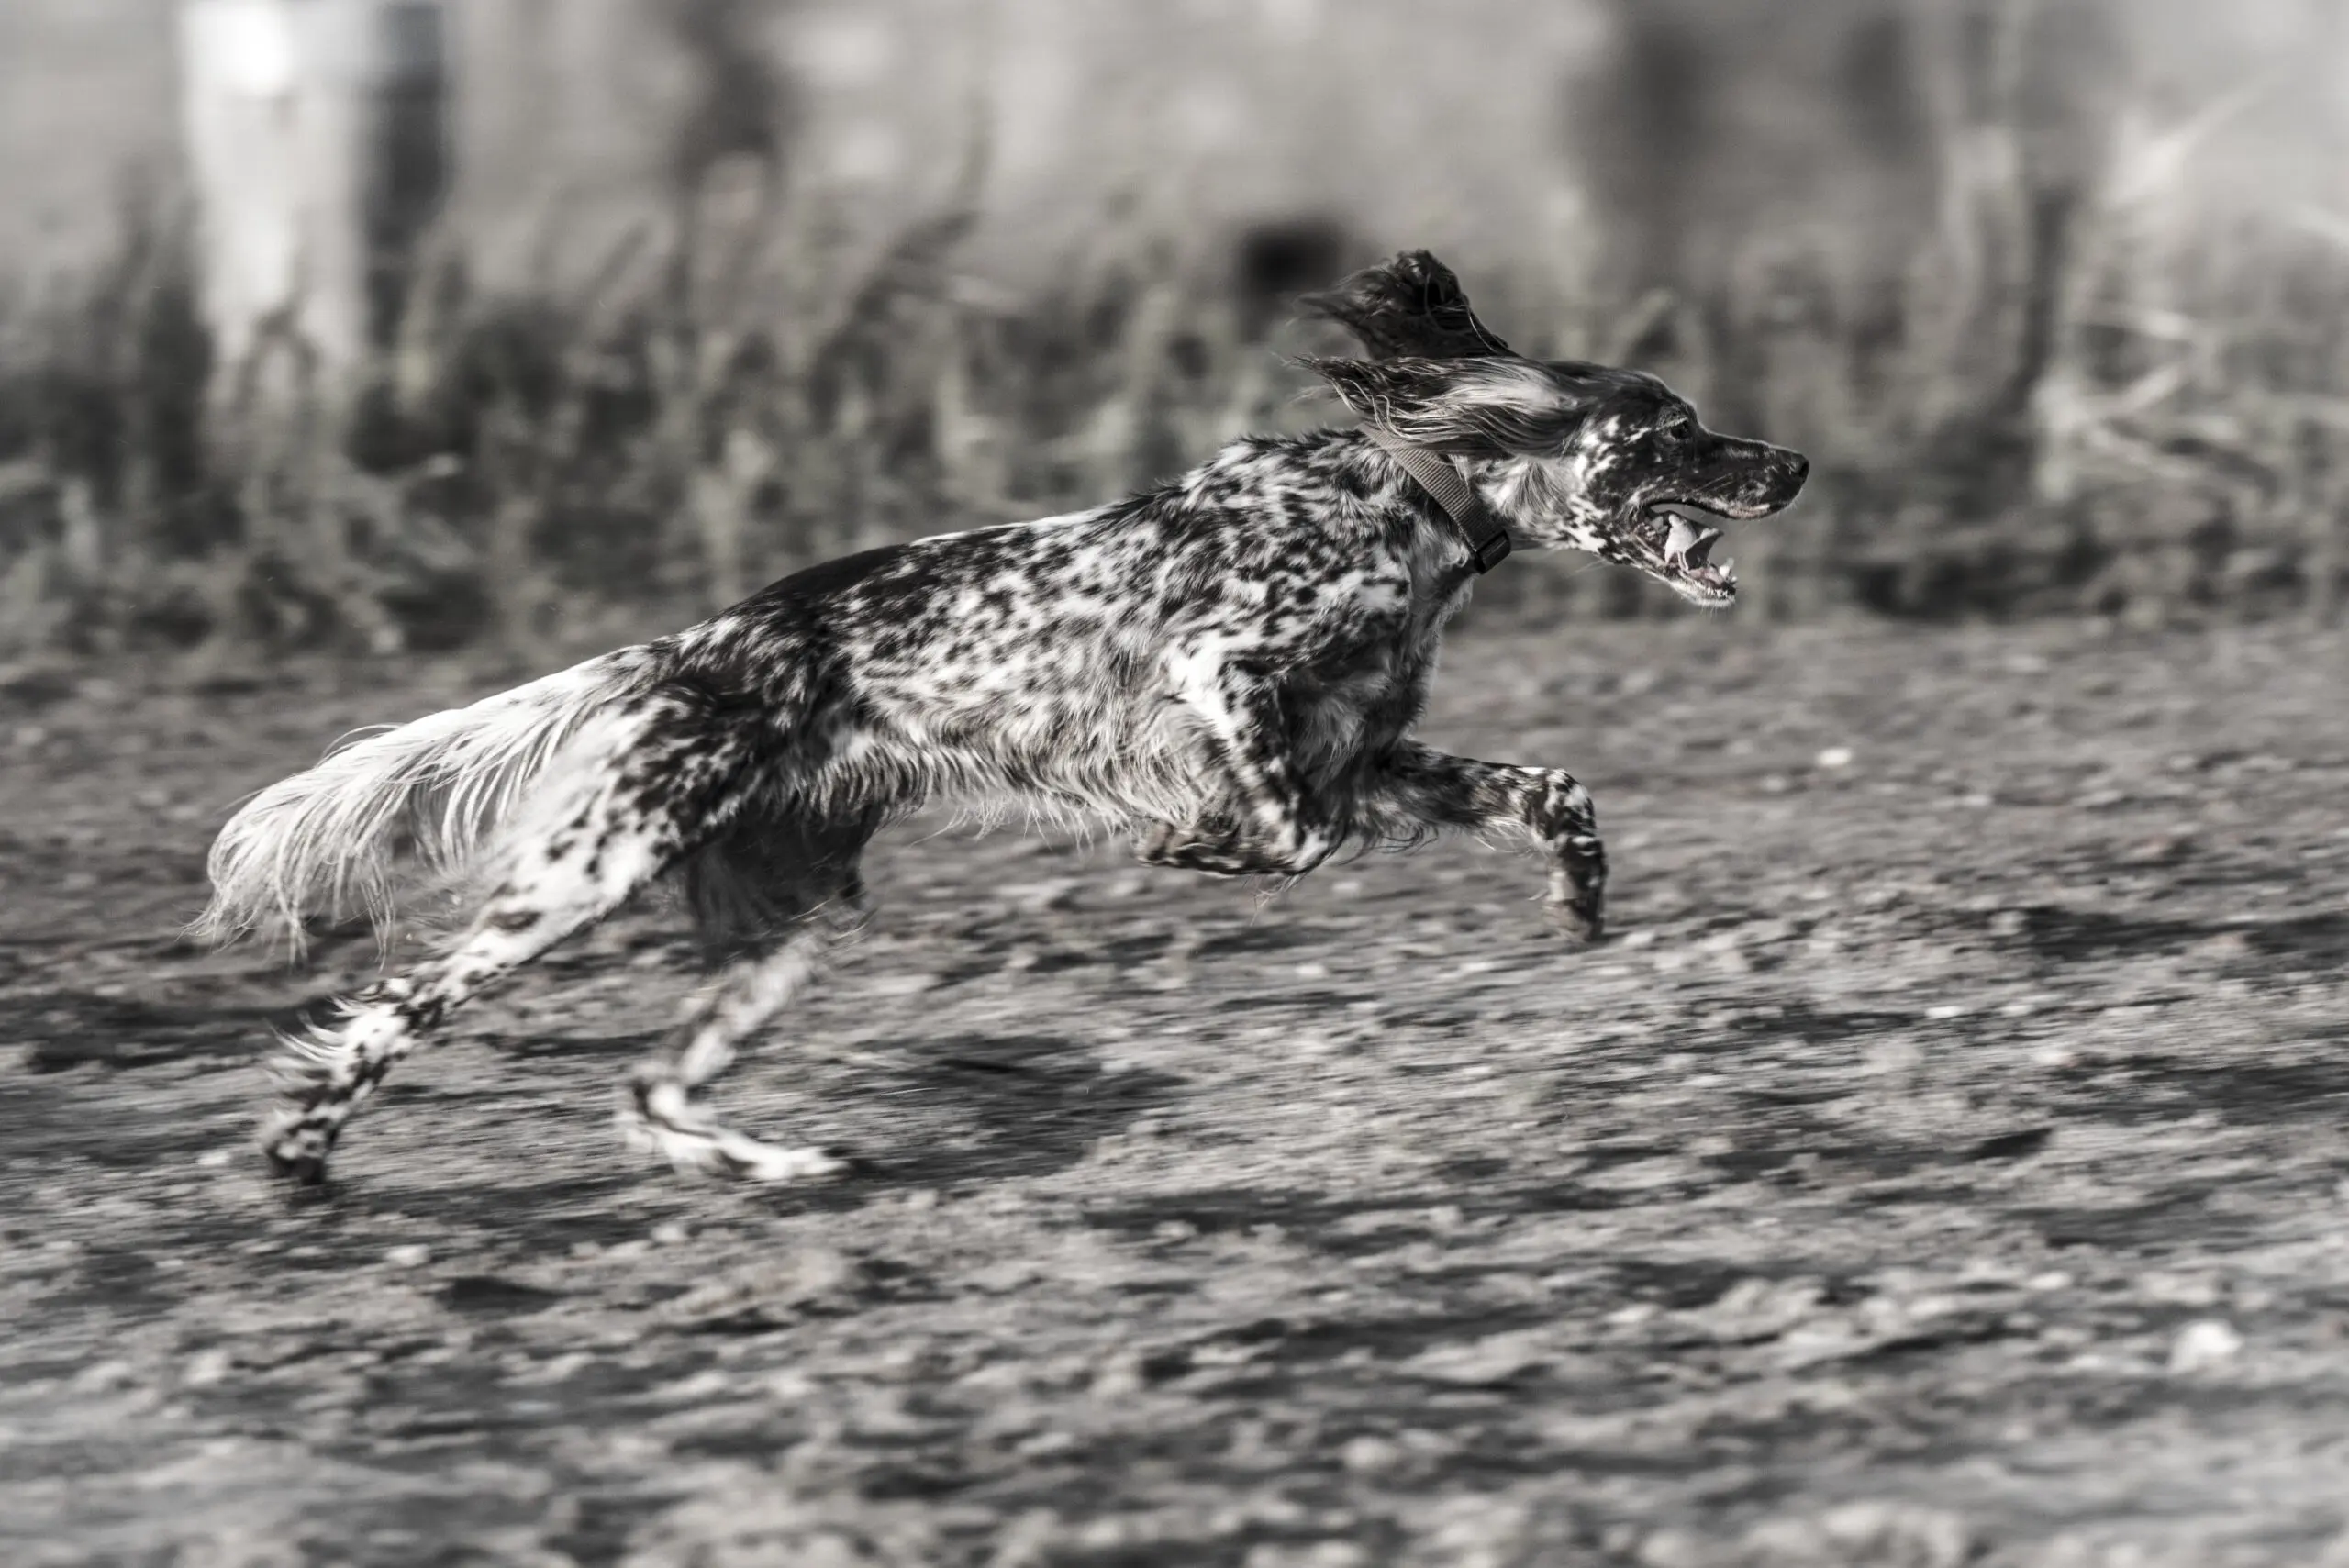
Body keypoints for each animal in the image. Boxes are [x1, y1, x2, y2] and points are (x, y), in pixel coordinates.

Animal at [202, 250, 1813, 1183]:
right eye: (1671, 432)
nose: (1793, 463)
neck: (1405, 497)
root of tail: (679, 650)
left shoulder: (1372, 753)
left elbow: (1549, 788)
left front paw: (1579, 900)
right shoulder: (1225, 672)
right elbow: (1288, 834)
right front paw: (1196, 849)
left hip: (787, 936)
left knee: (647, 1086)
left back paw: (768, 1169)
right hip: (582, 877)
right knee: (390, 1012)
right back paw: (299, 1149)